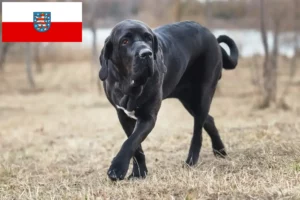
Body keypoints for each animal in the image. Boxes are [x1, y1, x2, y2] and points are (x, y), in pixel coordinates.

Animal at [99, 19, 239, 180]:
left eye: (148, 38)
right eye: (125, 41)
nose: (146, 54)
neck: (130, 85)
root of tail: (213, 37)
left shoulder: (148, 117)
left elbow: (131, 142)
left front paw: (117, 169)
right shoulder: (123, 115)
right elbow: (136, 146)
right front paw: (139, 173)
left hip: (204, 94)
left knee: (197, 132)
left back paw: (191, 161)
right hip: (189, 101)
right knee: (209, 120)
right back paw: (219, 150)